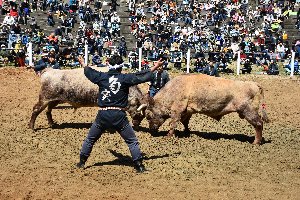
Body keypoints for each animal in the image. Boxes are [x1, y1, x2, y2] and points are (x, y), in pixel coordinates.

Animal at [139, 73, 270, 144]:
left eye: (148, 115)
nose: (151, 130)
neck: (173, 90)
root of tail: (253, 84)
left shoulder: (177, 110)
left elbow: (173, 123)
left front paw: (168, 136)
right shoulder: (187, 111)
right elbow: (185, 122)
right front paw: (187, 132)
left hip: (248, 110)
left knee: (258, 124)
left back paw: (256, 142)